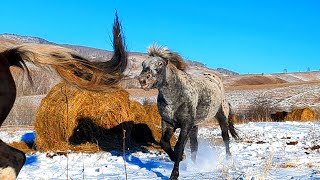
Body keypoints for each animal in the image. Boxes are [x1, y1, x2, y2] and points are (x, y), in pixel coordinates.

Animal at [138, 44, 238, 180]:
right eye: (143, 64)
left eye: (160, 63)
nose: (143, 80)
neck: (175, 97)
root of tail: (216, 80)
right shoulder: (168, 123)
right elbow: (164, 143)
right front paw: (177, 158)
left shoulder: (186, 125)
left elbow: (179, 146)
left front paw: (175, 173)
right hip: (195, 126)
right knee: (195, 145)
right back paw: (194, 166)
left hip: (221, 117)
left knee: (225, 137)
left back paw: (228, 160)